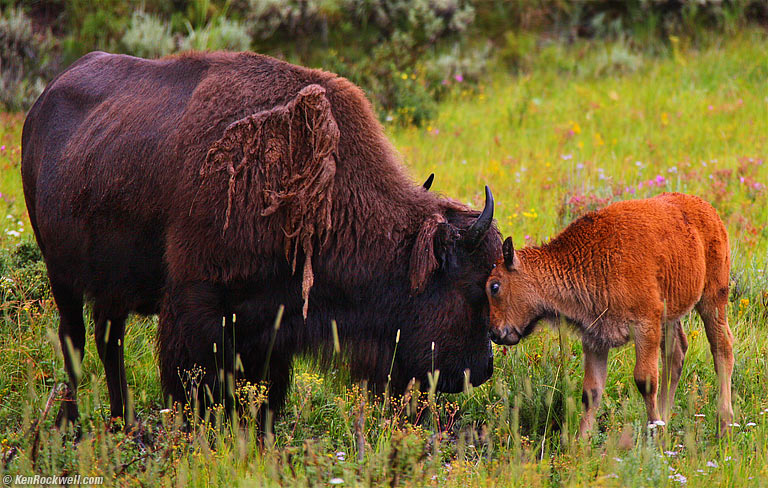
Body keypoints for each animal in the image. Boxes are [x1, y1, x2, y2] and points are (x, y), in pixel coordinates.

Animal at [21, 51, 501, 425]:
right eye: (472, 290)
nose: (482, 369)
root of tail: (41, 104)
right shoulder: (198, 305)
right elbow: (195, 385)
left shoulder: (271, 326)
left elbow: (267, 392)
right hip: (62, 276)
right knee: (75, 342)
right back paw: (73, 423)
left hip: (110, 289)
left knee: (109, 343)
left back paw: (122, 421)